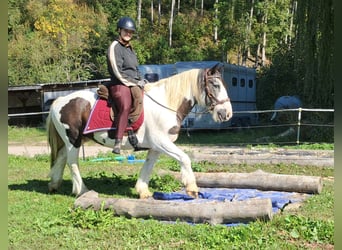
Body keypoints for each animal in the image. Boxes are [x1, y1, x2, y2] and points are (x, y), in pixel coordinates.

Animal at [47, 63, 232, 198]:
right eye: (215, 84)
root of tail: (60, 100)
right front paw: (192, 188)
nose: (227, 113)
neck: (165, 103)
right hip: (73, 140)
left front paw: (143, 190)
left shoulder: (157, 147)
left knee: (61, 158)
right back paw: (82, 190)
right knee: (72, 162)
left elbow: (148, 166)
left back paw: (54, 185)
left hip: (72, 140)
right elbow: (185, 158)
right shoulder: (161, 142)